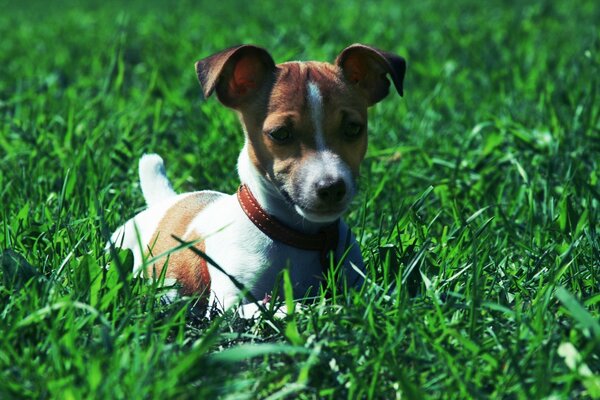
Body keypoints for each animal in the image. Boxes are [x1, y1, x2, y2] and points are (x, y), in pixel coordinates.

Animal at [110, 43, 406, 316]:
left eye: (354, 128)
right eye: (280, 134)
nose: (332, 188)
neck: (299, 237)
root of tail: (166, 201)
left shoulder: (354, 279)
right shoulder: (229, 305)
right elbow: (284, 307)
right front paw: (323, 308)